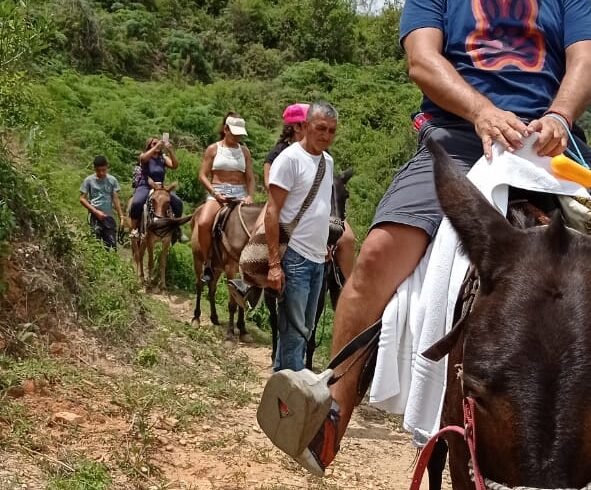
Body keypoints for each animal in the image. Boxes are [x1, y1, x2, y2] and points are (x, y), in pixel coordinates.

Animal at [191, 203, 264, 340]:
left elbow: (242, 300)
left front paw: (243, 330)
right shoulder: (231, 269)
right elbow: (232, 304)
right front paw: (230, 335)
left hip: (217, 267)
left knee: (212, 288)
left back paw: (214, 318)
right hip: (197, 259)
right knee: (199, 286)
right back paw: (196, 318)